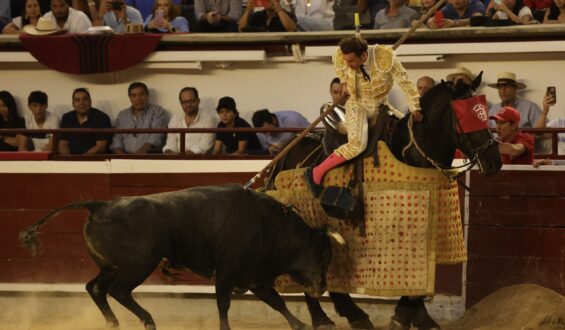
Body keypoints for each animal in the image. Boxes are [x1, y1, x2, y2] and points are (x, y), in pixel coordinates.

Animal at [18, 184, 344, 330]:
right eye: (322, 255)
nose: (321, 287)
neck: (269, 225)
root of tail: (99, 204)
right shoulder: (227, 274)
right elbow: (223, 304)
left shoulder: (256, 278)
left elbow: (277, 302)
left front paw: (299, 325)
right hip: (138, 265)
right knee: (119, 291)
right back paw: (148, 321)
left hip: (111, 267)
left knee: (95, 288)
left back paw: (114, 323)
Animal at [266, 75, 502, 330]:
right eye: (465, 118)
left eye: (484, 114)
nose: (495, 161)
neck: (409, 151)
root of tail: (283, 155)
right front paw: (403, 318)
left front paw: (418, 319)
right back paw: (326, 318)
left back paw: (350, 314)